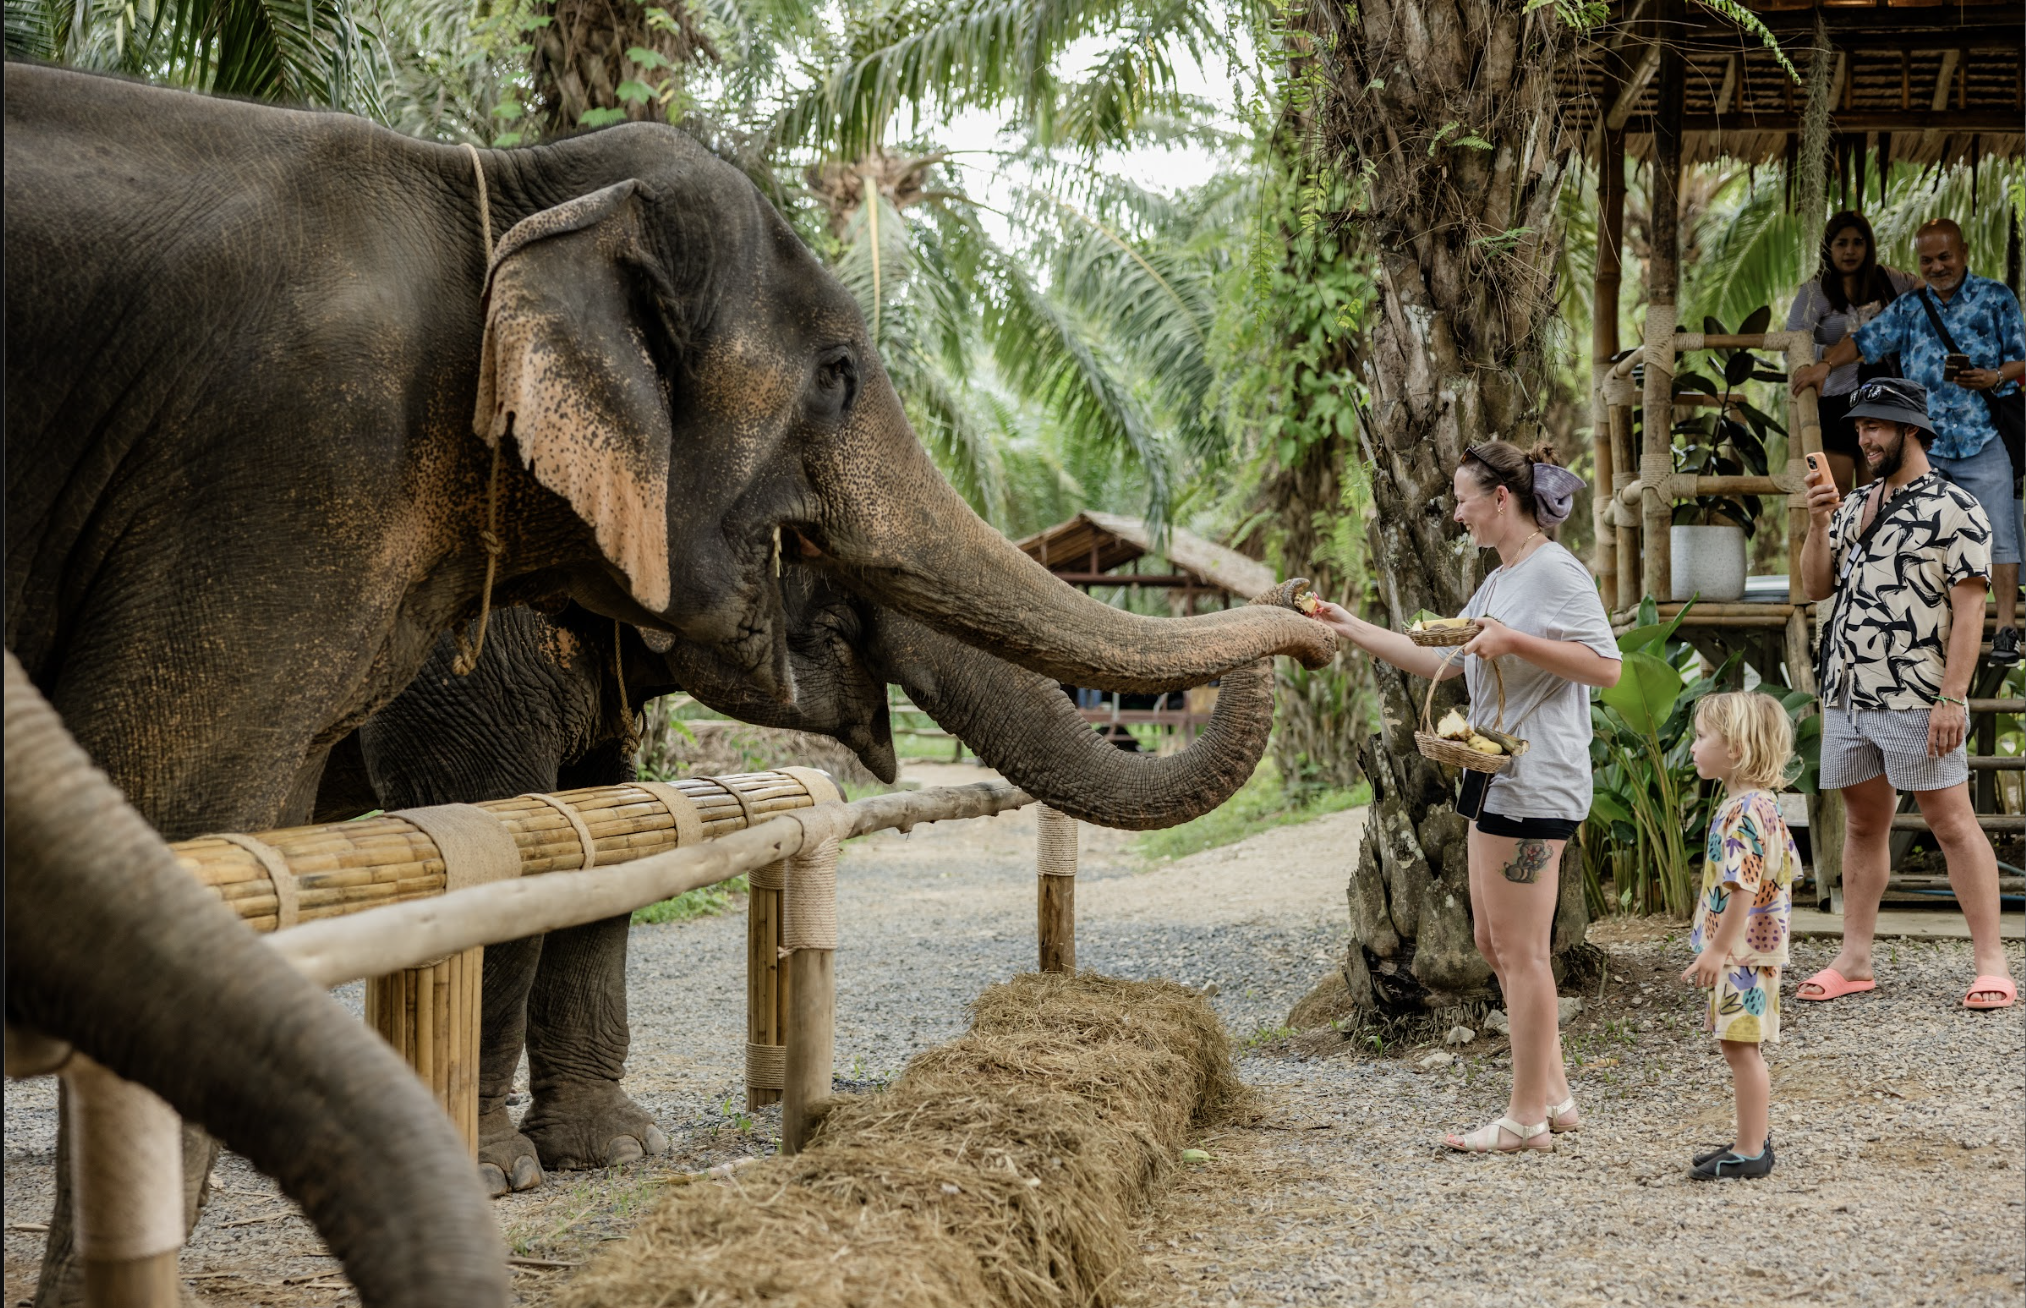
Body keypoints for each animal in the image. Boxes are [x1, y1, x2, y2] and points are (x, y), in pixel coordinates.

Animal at [323, 564, 1303, 1194]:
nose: (1299, 594)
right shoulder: (459, 656)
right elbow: (491, 833)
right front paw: (495, 1174)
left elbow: (601, 836)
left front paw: (621, 1154)